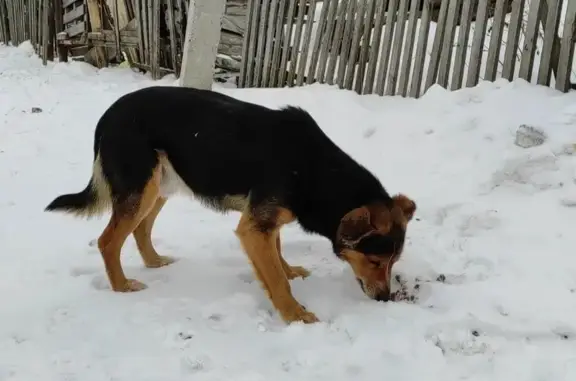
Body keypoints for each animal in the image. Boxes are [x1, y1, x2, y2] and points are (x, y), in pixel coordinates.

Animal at [44, 87, 414, 324]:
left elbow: (278, 254)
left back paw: (155, 262)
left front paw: (289, 270)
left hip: (160, 185)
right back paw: (121, 286)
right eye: (375, 260)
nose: (385, 299)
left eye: (393, 261)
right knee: (108, 241)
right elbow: (275, 280)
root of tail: (107, 116)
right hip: (141, 188)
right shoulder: (253, 227)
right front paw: (294, 315)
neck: (313, 170)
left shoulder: (265, 221)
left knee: (140, 230)